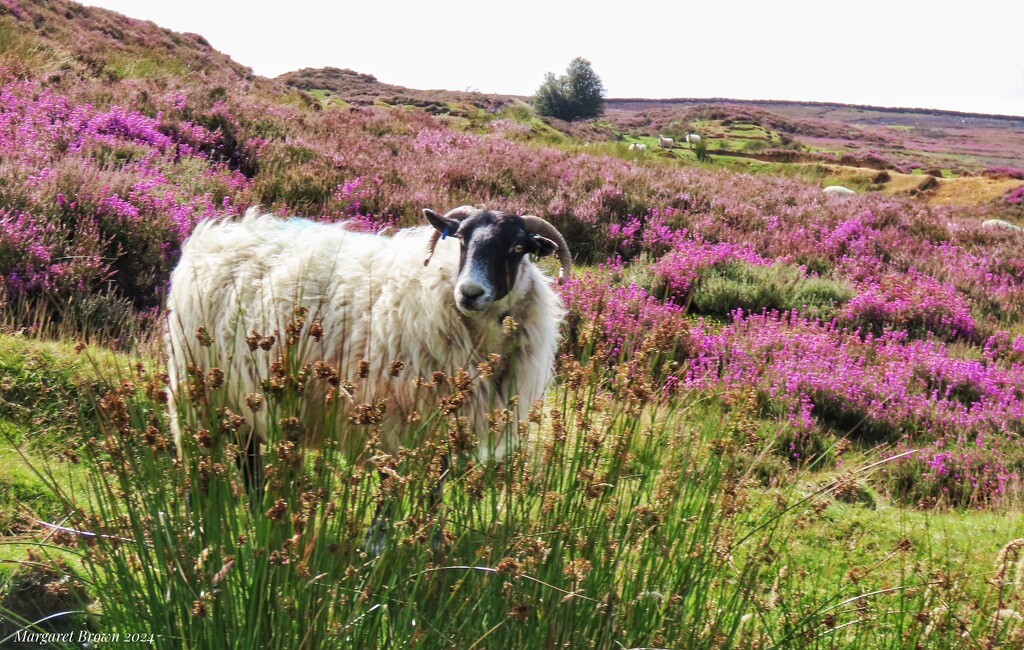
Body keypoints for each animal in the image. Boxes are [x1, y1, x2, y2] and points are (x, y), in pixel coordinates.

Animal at [163, 205, 573, 474]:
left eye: (518, 248)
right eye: (460, 240)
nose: (469, 293)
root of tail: (212, 236)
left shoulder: (443, 432)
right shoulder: (397, 425)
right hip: (199, 392)